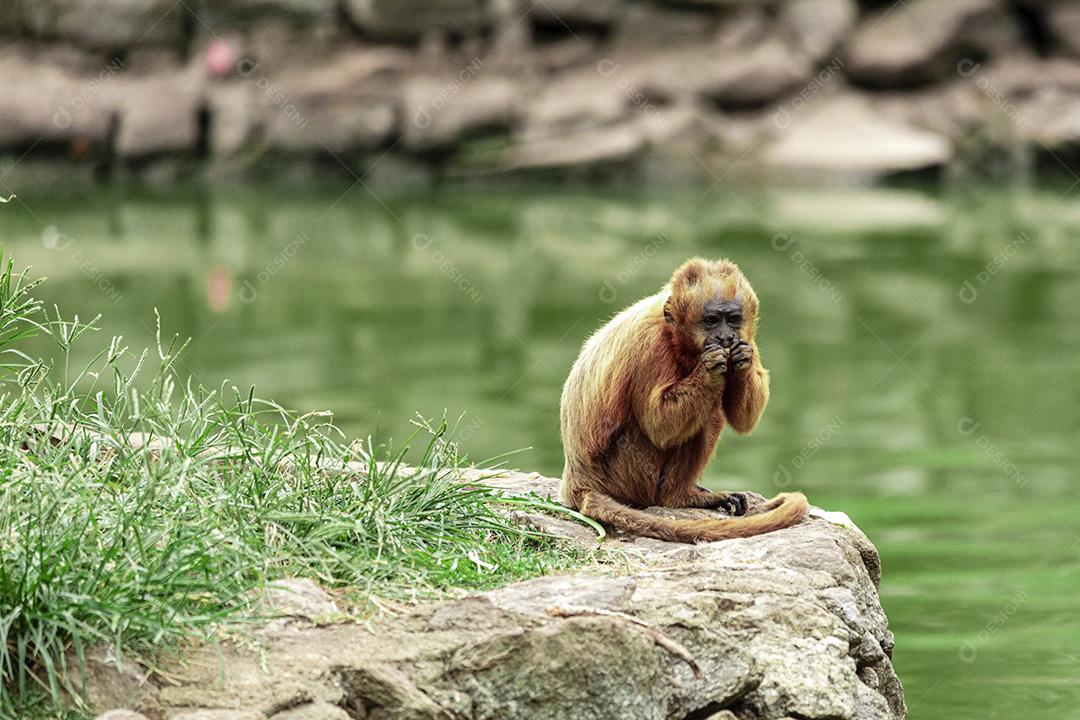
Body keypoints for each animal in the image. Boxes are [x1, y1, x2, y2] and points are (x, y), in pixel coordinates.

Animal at [561, 255, 807, 544]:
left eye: (733, 319)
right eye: (712, 320)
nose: (725, 337)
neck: (675, 336)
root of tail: (577, 481)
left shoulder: (747, 338)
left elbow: (743, 419)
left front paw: (739, 362)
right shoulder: (650, 345)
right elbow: (658, 428)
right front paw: (710, 368)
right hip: (626, 476)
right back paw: (677, 498)